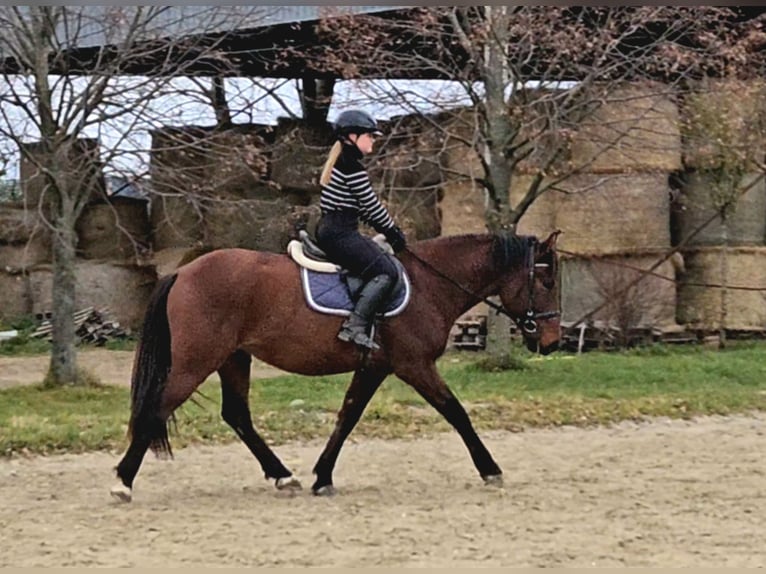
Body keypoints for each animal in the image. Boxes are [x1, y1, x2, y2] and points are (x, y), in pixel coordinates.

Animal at [111, 232, 560, 502]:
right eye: (547, 281)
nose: (552, 342)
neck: (427, 284)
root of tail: (184, 271)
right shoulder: (414, 365)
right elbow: (457, 412)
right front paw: (490, 469)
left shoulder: (375, 367)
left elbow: (347, 416)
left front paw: (322, 476)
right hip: (197, 361)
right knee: (156, 409)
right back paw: (122, 482)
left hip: (232, 358)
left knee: (236, 415)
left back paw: (282, 475)